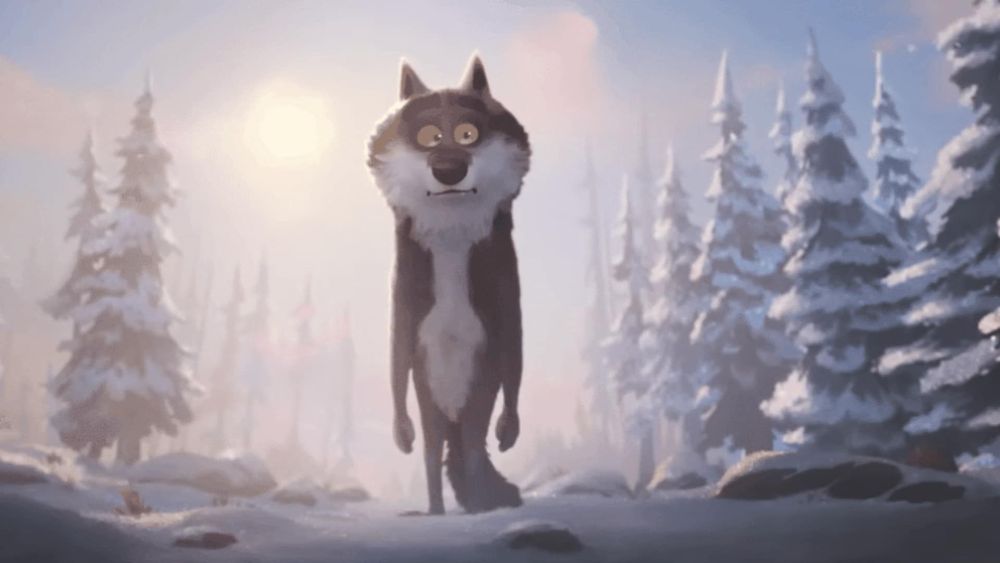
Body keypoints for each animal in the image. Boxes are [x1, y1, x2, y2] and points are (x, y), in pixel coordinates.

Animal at [367, 54, 530, 514]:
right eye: (429, 136)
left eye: (467, 133)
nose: (448, 169)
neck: (452, 235)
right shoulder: (405, 301)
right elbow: (396, 359)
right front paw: (401, 433)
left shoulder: (505, 293)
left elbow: (514, 353)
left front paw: (509, 429)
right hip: (432, 398)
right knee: (431, 452)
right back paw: (436, 511)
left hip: (475, 394)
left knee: (470, 448)